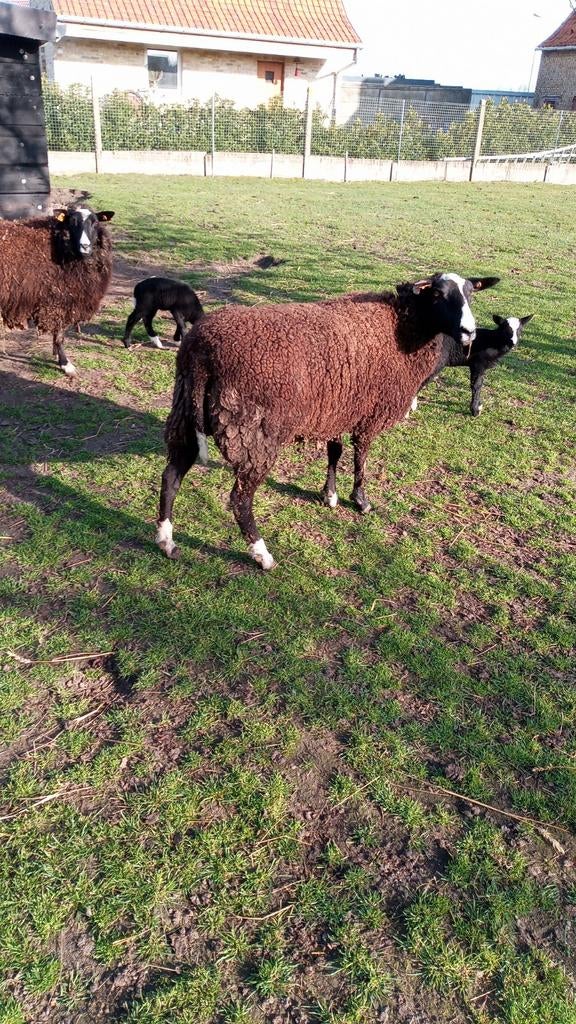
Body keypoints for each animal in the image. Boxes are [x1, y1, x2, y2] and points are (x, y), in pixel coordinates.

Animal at [0, 207, 114, 376]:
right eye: (72, 222)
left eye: (95, 222)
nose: (85, 246)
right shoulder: (58, 302)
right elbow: (59, 336)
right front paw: (65, 364)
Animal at [156, 271, 499, 570]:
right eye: (438, 294)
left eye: (471, 293)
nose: (469, 332)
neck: (402, 329)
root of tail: (201, 352)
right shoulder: (370, 413)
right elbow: (361, 455)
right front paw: (360, 500)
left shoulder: (338, 407)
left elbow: (335, 451)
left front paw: (329, 494)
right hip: (253, 431)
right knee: (239, 499)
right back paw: (262, 555)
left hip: (184, 413)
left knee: (171, 476)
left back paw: (166, 541)